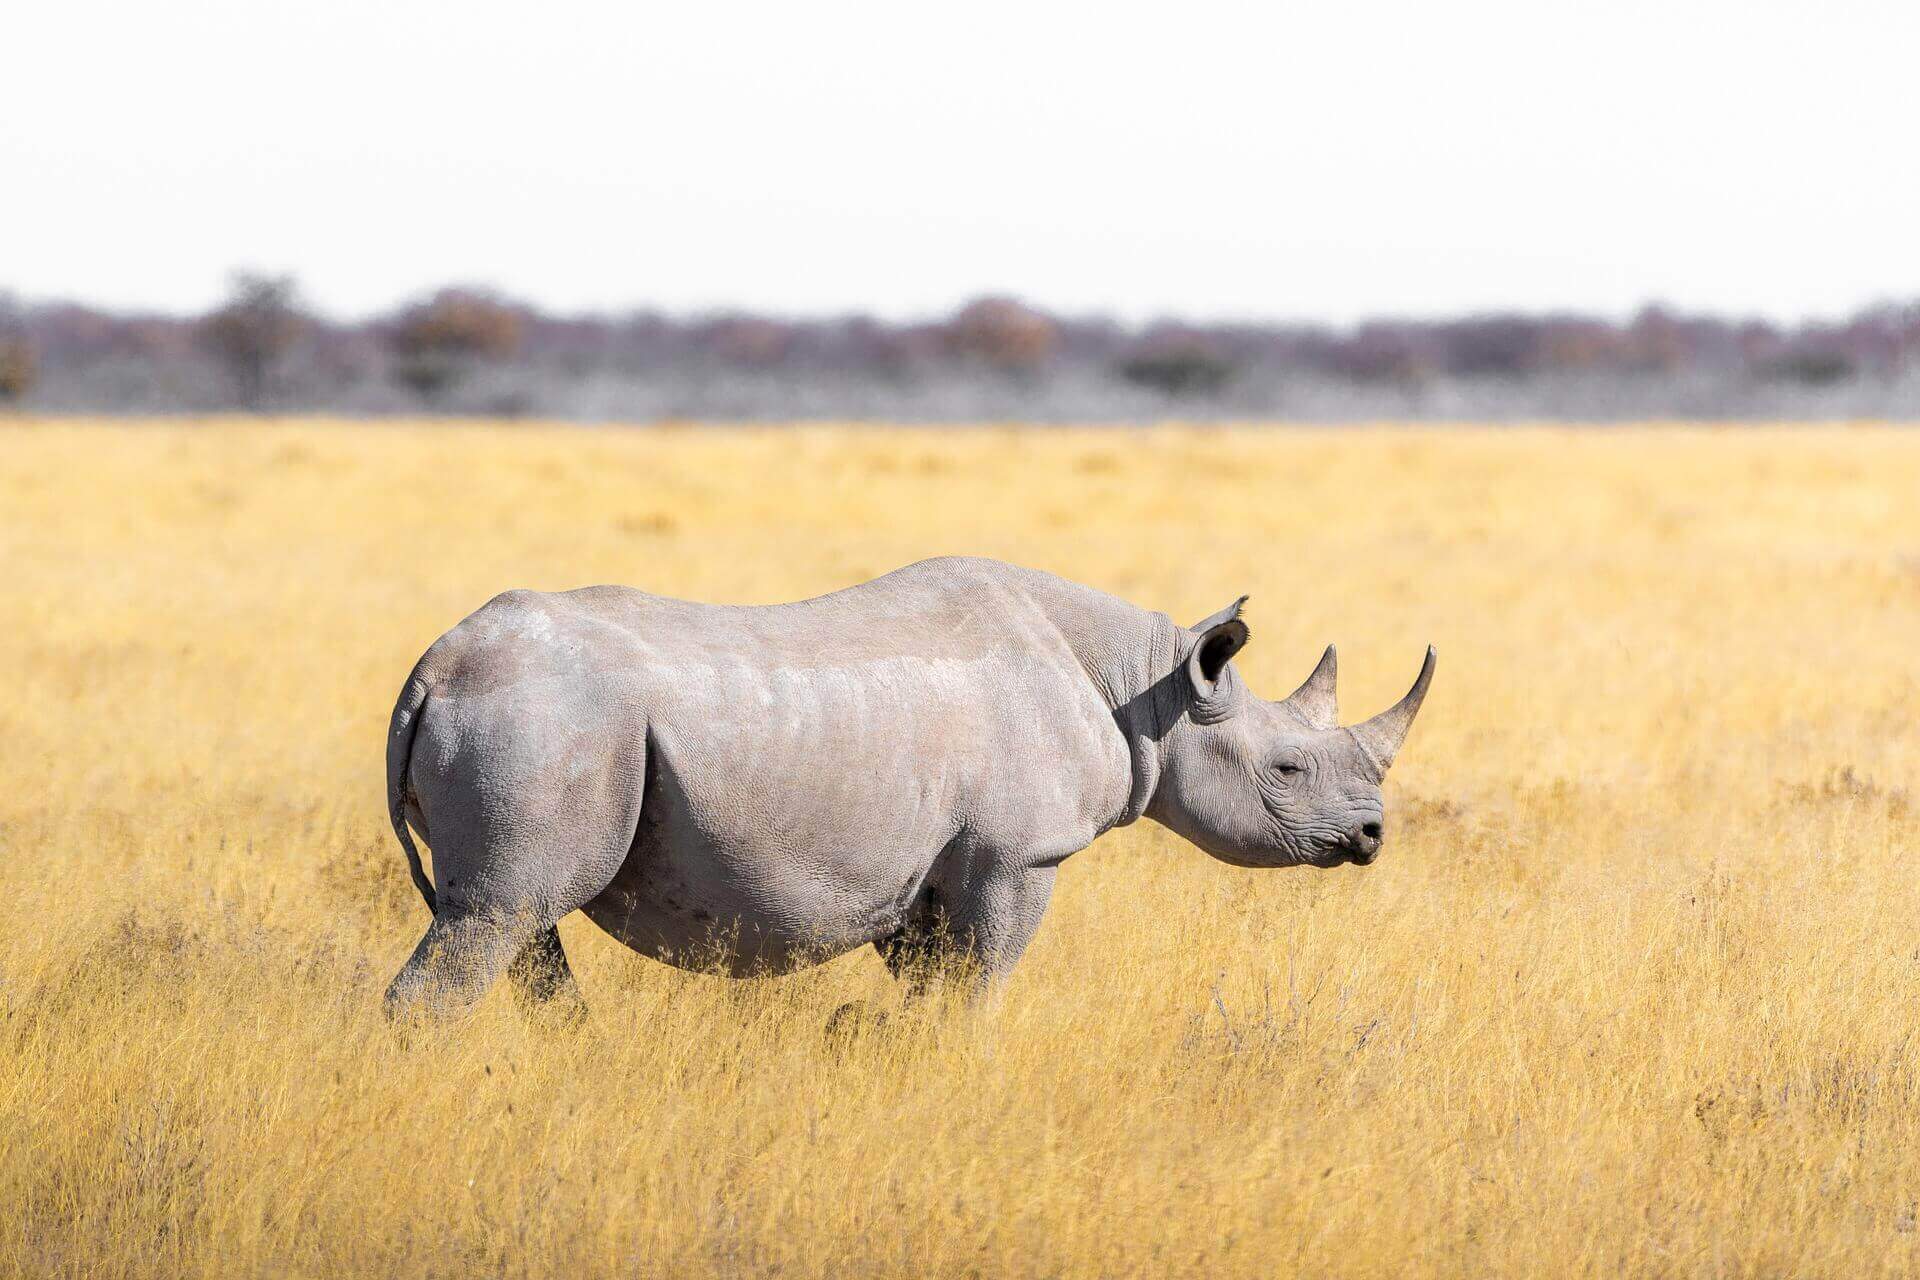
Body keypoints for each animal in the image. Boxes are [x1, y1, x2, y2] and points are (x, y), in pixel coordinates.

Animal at [383, 557, 1434, 1017]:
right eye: (1287, 770)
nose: (1372, 837)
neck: (1152, 687)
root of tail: (433, 669)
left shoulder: (929, 866)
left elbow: (932, 991)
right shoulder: (1017, 855)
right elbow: (981, 987)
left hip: (548, 724)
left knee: (518, 921)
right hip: (547, 720)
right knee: (495, 915)